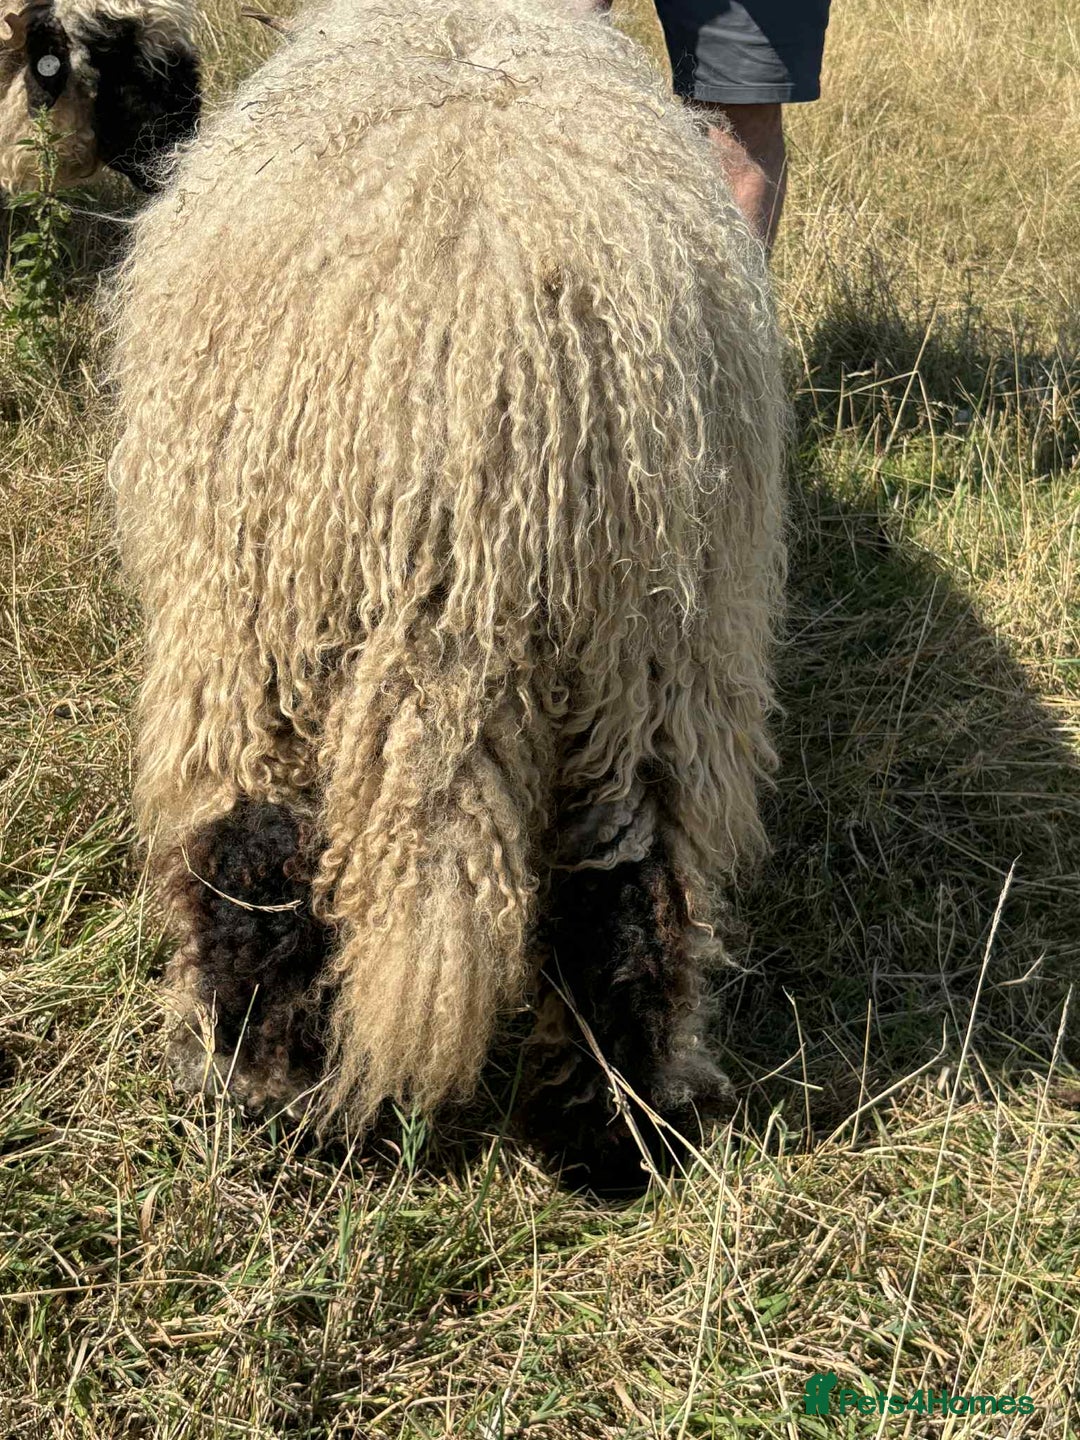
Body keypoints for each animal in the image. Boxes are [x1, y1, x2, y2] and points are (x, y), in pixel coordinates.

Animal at [107, 0, 786, 1187]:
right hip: (653, 643)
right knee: (630, 892)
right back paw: (612, 1140)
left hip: (254, 627)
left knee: (256, 860)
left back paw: (261, 1102)